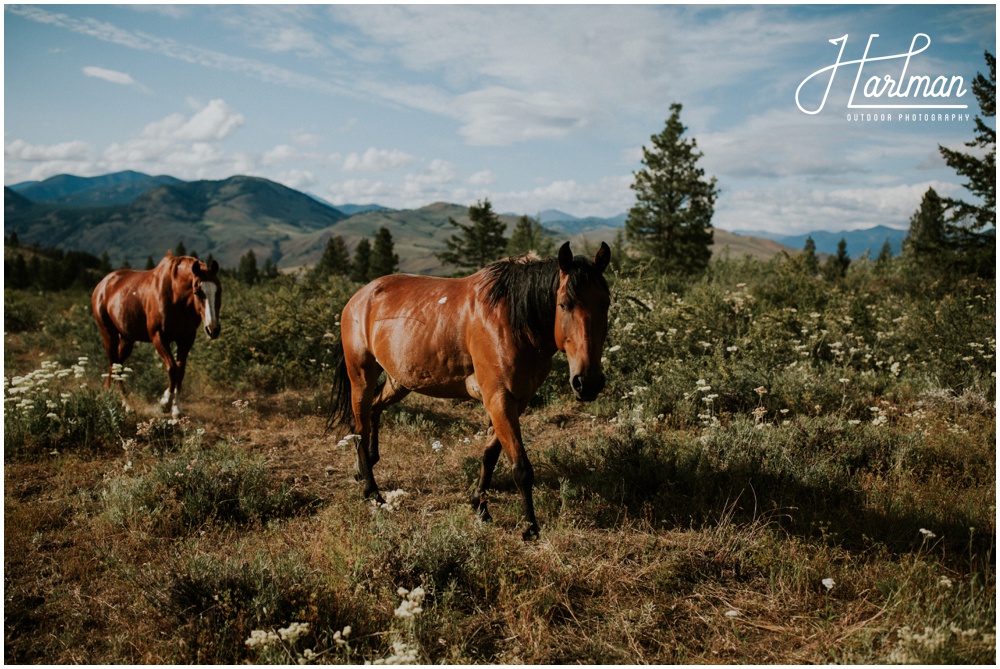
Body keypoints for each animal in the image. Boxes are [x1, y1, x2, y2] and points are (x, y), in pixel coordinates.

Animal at [91, 250, 221, 418]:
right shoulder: (158, 337)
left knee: (116, 364)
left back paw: (109, 394)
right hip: (109, 334)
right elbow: (172, 368)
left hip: (127, 339)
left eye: (219, 291)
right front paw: (164, 402)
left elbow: (180, 371)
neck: (175, 296)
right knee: (114, 364)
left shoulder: (186, 339)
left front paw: (176, 409)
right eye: (197, 292)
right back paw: (126, 404)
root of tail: (103, 284)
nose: (213, 329)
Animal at [330, 240, 608, 536]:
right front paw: (529, 526)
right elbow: (521, 467)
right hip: (362, 375)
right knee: (360, 426)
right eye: (564, 304)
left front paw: (479, 506)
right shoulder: (499, 398)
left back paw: (365, 466)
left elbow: (490, 455)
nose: (588, 382)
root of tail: (359, 297)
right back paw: (372, 492)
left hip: (400, 380)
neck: (512, 320)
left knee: (372, 411)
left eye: (606, 303)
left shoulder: (516, 400)